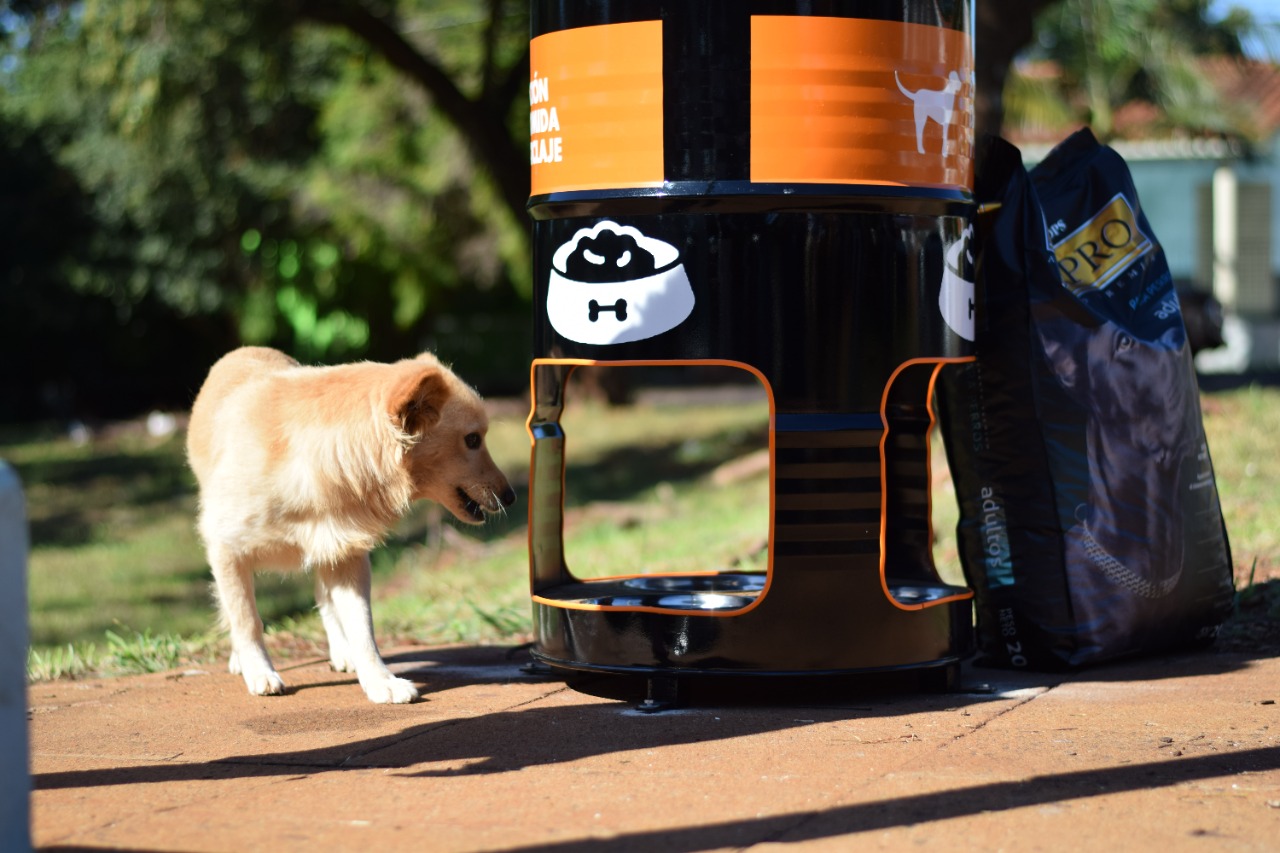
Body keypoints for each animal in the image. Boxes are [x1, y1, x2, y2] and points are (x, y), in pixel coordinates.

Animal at [186, 343, 514, 701]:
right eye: (473, 440)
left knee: (325, 601)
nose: (511, 496)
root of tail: (247, 349)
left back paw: (342, 653)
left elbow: (362, 627)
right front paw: (259, 670)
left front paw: (380, 681)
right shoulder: (226, 550)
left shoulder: (346, 556)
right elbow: (246, 618)